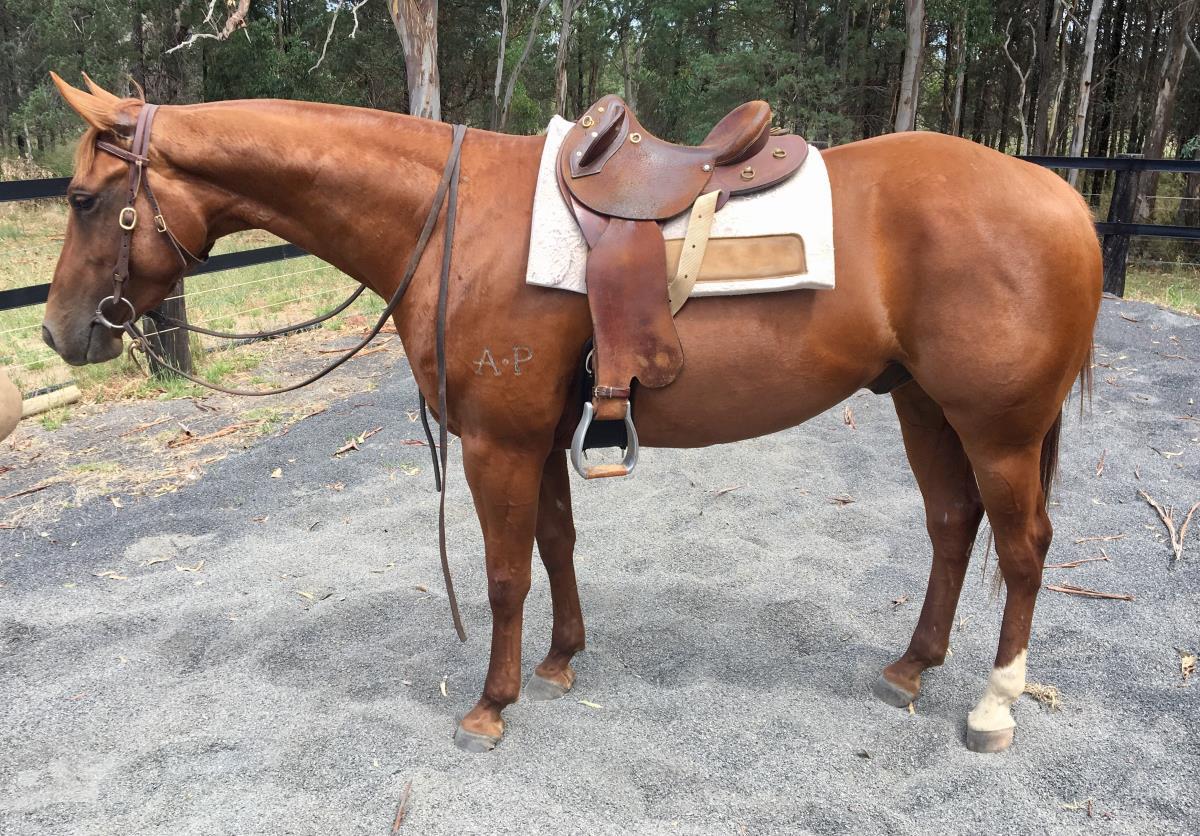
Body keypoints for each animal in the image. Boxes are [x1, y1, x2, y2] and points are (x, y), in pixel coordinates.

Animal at [40, 73, 1100, 754]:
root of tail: (1063, 198)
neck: (450, 218)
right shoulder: (540, 437)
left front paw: (491, 705)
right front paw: (559, 662)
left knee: (1023, 549)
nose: (57, 333)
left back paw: (994, 707)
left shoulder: (497, 441)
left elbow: (506, 572)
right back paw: (912, 666)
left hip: (998, 428)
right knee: (953, 525)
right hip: (924, 406)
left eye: (87, 198)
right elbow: (556, 543)